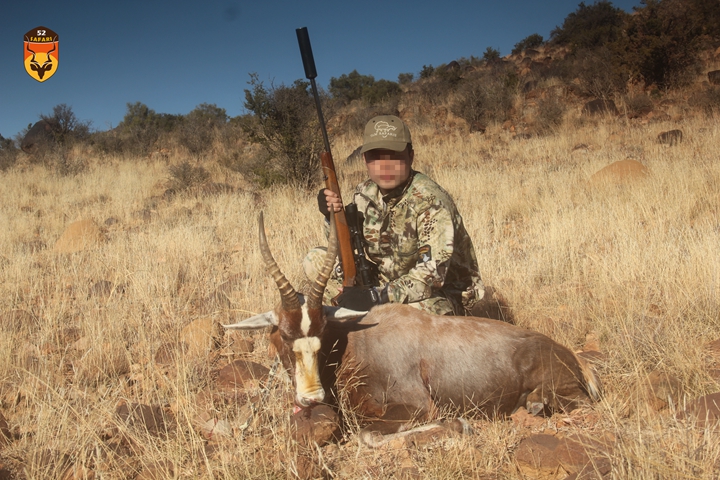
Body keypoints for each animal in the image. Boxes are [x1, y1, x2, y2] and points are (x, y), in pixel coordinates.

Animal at [226, 212, 600, 444]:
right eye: (285, 336)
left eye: (321, 334)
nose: (311, 398)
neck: (355, 341)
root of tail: (573, 357)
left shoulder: (416, 406)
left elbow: (367, 434)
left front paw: (460, 425)